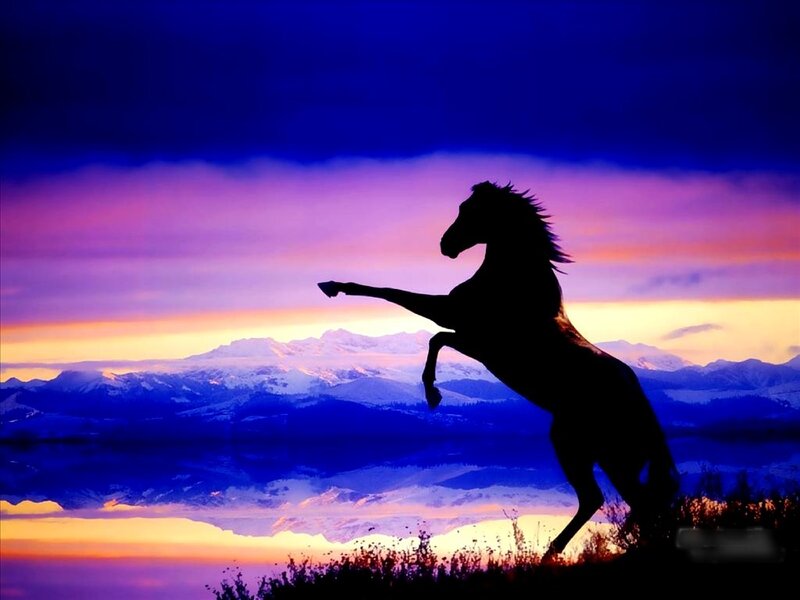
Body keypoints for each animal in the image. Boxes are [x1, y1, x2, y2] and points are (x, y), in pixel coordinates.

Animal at [318, 181, 679, 556]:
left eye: (470, 210)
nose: (445, 245)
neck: (513, 285)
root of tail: (646, 415)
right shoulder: (468, 336)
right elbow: (427, 328)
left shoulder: (470, 335)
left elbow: (417, 319)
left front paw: (432, 393)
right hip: (608, 457)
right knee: (628, 503)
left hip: (582, 447)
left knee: (612, 500)